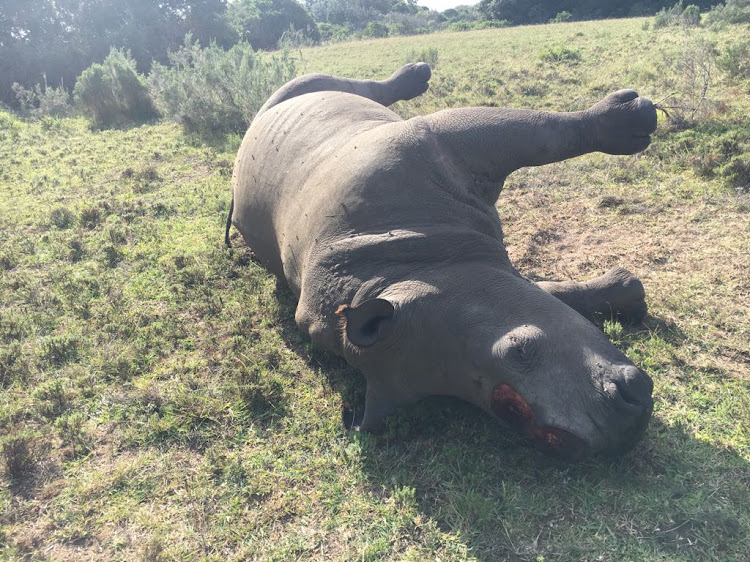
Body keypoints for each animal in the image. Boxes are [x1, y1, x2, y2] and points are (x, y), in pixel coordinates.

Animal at [228, 63, 656, 458]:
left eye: (519, 349)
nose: (626, 426)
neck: (405, 261)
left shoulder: (427, 144)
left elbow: (541, 134)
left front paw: (632, 119)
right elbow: (549, 288)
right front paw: (629, 292)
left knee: (309, 84)